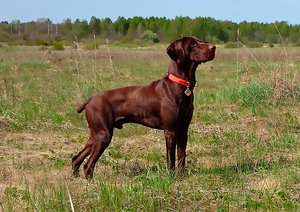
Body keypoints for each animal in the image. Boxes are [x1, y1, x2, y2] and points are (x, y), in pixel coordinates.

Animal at [71, 36, 214, 179]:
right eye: (192, 44)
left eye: (199, 41)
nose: (213, 47)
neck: (181, 85)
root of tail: (90, 100)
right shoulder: (170, 131)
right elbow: (171, 160)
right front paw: (171, 178)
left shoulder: (183, 130)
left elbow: (181, 158)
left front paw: (180, 178)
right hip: (103, 135)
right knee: (88, 165)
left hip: (95, 135)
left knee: (76, 158)